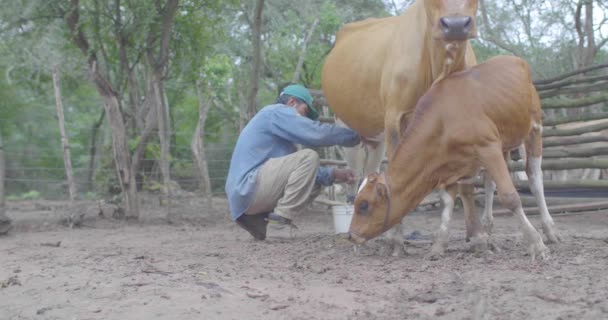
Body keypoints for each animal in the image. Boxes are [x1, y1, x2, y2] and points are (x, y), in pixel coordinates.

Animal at [320, 0, 482, 255]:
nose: (455, 25)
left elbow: (466, 186)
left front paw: (476, 237)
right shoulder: (395, 119)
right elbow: (394, 179)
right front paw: (397, 241)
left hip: (375, 139)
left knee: (370, 173)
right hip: (346, 127)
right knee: (354, 178)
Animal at [352, 55, 560, 260]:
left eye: (364, 205)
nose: (351, 235)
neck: (443, 119)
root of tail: (514, 60)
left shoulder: (488, 147)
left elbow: (510, 197)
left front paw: (536, 244)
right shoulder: (455, 164)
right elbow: (448, 202)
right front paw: (439, 244)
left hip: (534, 130)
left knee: (535, 179)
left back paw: (549, 230)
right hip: (504, 145)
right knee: (490, 183)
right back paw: (488, 227)